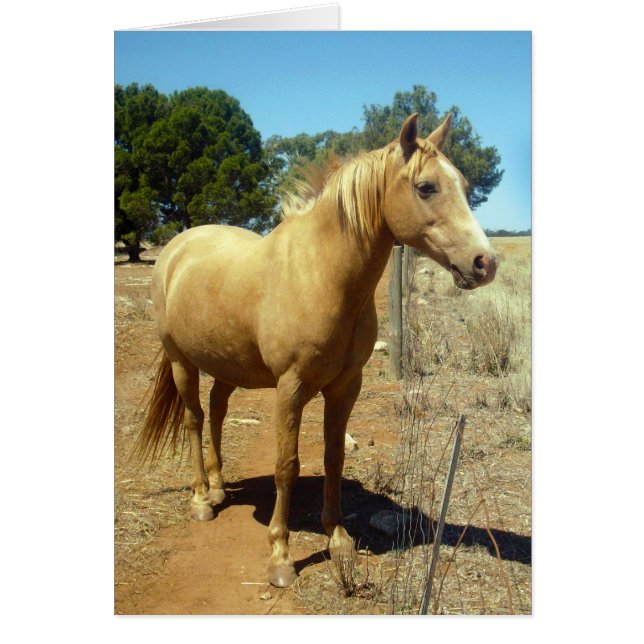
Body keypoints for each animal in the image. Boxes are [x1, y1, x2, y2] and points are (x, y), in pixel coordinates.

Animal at [135, 113, 498, 588]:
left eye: (464, 183)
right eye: (426, 187)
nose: (485, 263)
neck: (321, 273)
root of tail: (176, 249)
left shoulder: (346, 386)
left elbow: (333, 456)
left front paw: (338, 538)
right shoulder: (290, 388)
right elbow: (286, 465)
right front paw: (281, 557)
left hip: (227, 366)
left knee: (216, 412)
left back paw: (217, 486)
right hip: (182, 362)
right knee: (194, 420)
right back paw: (200, 499)